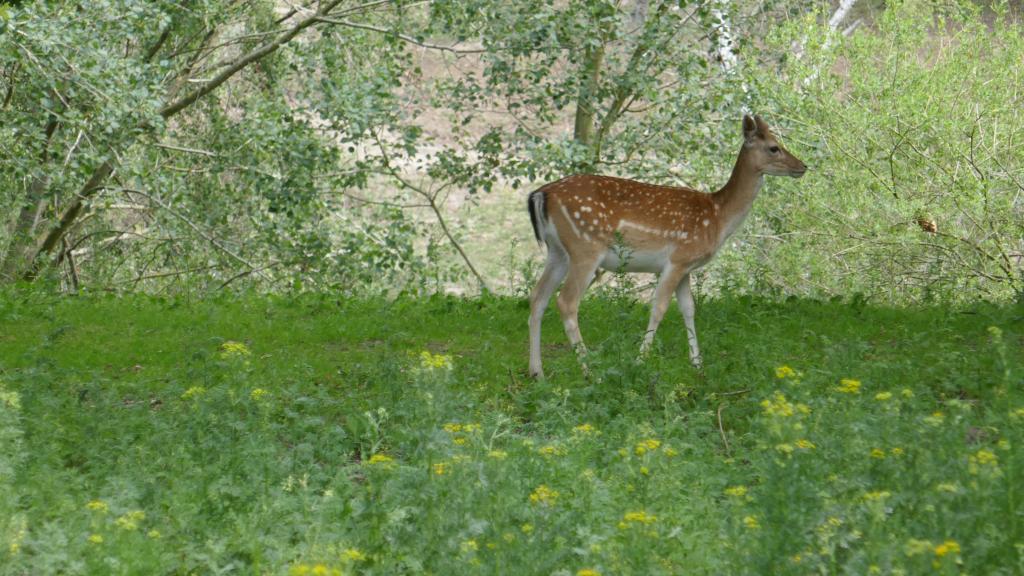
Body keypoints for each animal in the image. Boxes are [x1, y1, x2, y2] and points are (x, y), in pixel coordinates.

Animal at [528, 114, 806, 379]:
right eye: (774, 147)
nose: (803, 166)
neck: (718, 217)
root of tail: (541, 194)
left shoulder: (687, 267)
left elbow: (689, 309)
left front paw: (697, 365)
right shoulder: (676, 260)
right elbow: (659, 307)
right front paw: (640, 361)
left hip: (558, 252)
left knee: (538, 296)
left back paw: (537, 372)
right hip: (585, 247)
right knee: (566, 301)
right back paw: (589, 371)